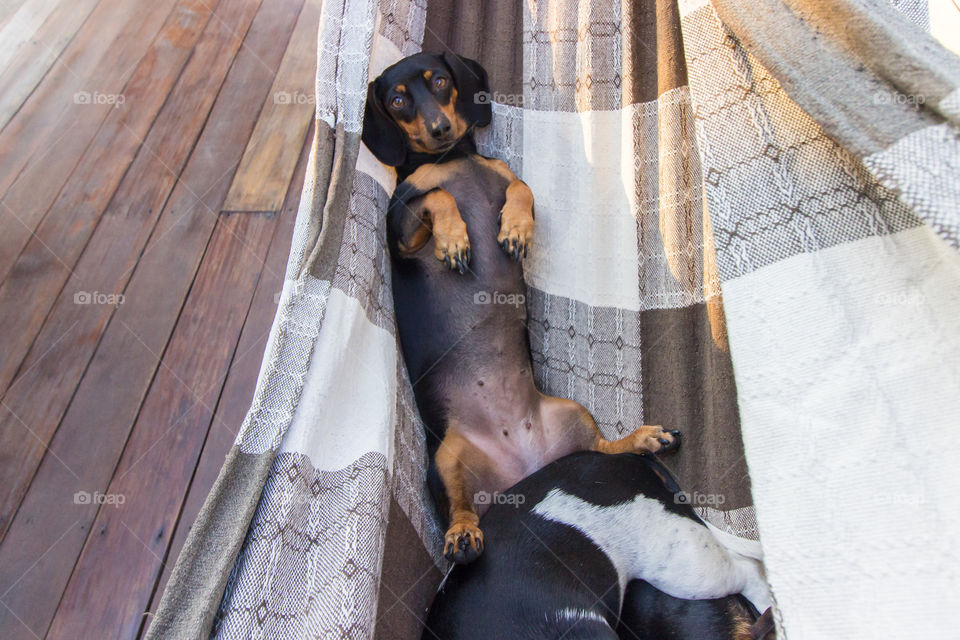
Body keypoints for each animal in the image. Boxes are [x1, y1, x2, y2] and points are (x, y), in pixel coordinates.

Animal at [364, 52, 680, 564]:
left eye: (440, 80)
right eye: (397, 100)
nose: (439, 128)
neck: (451, 159)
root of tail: (525, 475)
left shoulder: (507, 178)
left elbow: (522, 189)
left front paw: (515, 227)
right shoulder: (401, 229)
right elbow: (437, 195)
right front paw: (455, 238)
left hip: (571, 413)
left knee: (602, 449)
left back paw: (641, 438)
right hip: (445, 458)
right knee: (459, 508)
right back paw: (462, 535)